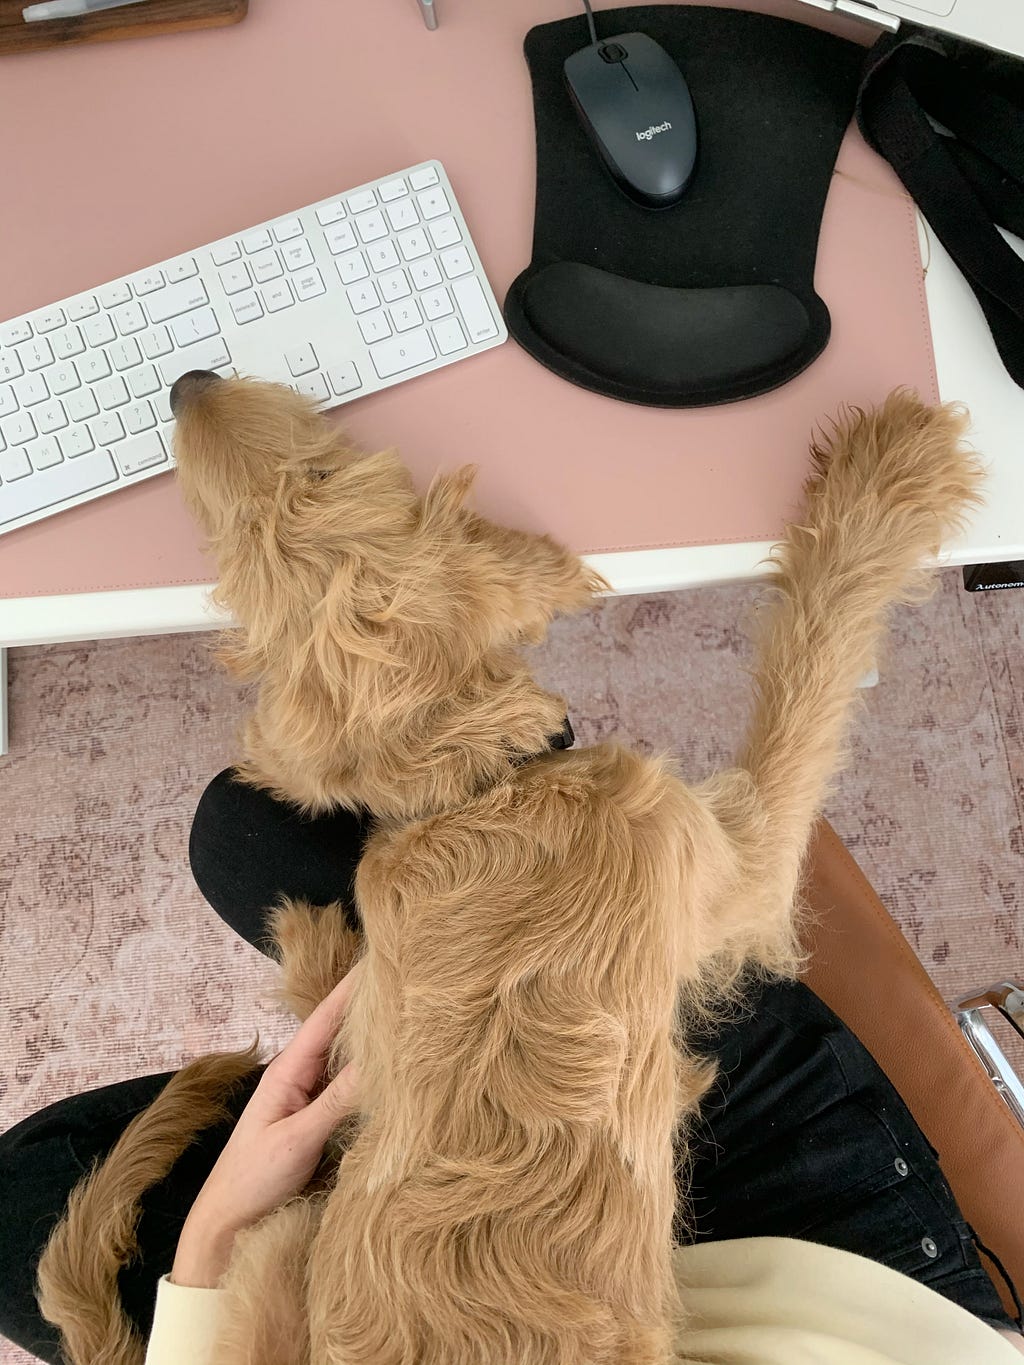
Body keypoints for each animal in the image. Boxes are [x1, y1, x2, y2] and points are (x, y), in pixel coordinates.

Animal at [40, 382, 988, 1365]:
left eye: (323, 474)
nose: (187, 384)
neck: (477, 788)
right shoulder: (739, 862)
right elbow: (815, 656)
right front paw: (889, 468)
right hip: (283, 1235)